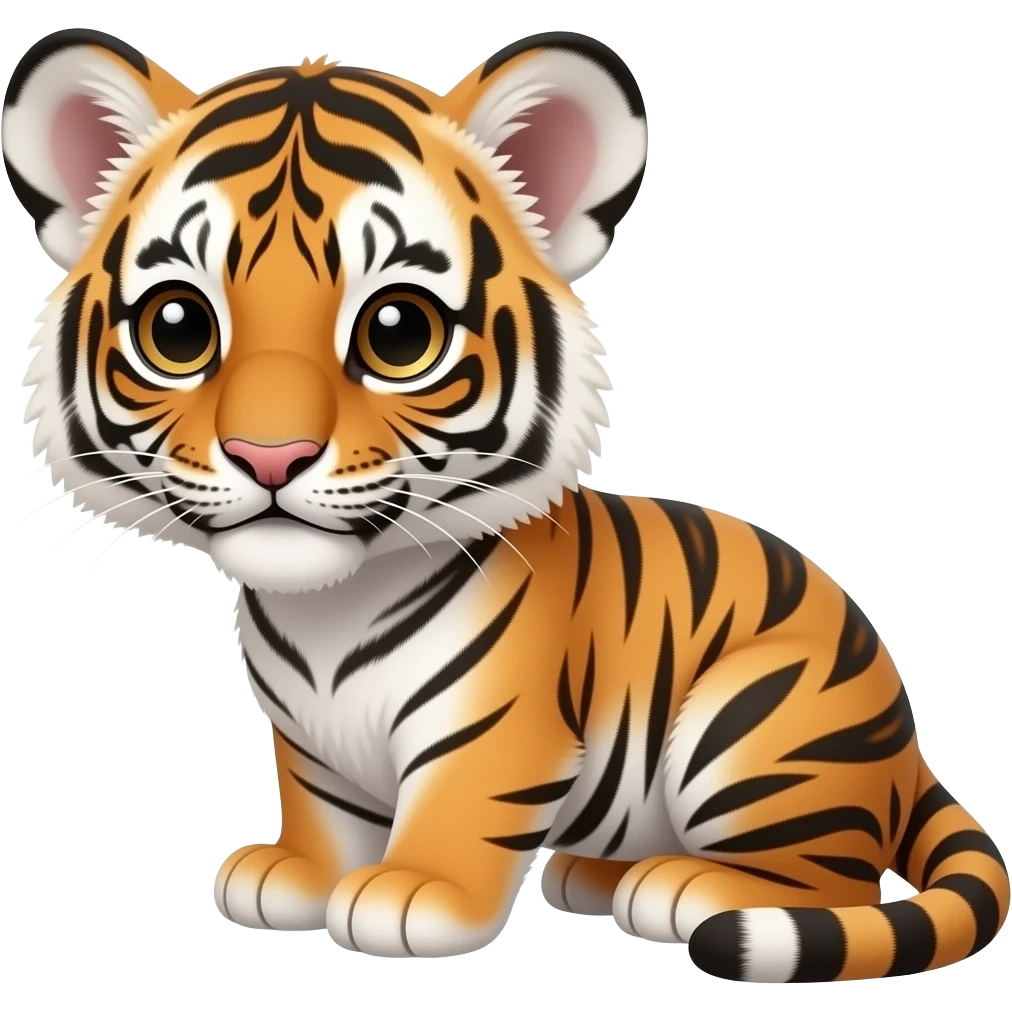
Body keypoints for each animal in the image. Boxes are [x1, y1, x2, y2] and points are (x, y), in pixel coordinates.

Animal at [7, 27, 1009, 979]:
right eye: (177, 327)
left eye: (397, 331)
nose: (270, 456)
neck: (327, 611)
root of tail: (906, 745)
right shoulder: (308, 744)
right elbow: (321, 808)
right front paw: (295, 874)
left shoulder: (498, 731)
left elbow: (462, 810)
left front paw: (409, 893)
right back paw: (598, 875)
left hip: (758, 718)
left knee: (832, 882)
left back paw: (683, 887)